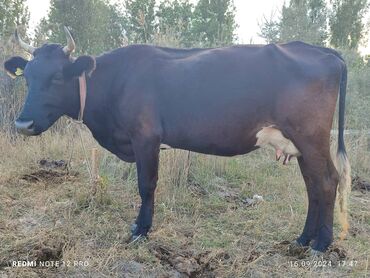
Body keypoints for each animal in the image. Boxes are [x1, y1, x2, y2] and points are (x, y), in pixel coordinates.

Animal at [4, 27, 352, 254]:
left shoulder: (145, 137)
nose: (23, 123)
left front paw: (140, 231)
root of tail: (321, 50)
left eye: (57, 77)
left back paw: (321, 244)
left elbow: (146, 185)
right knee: (313, 185)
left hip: (310, 137)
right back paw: (303, 239)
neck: (113, 81)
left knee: (326, 181)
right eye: (28, 77)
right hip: (300, 144)